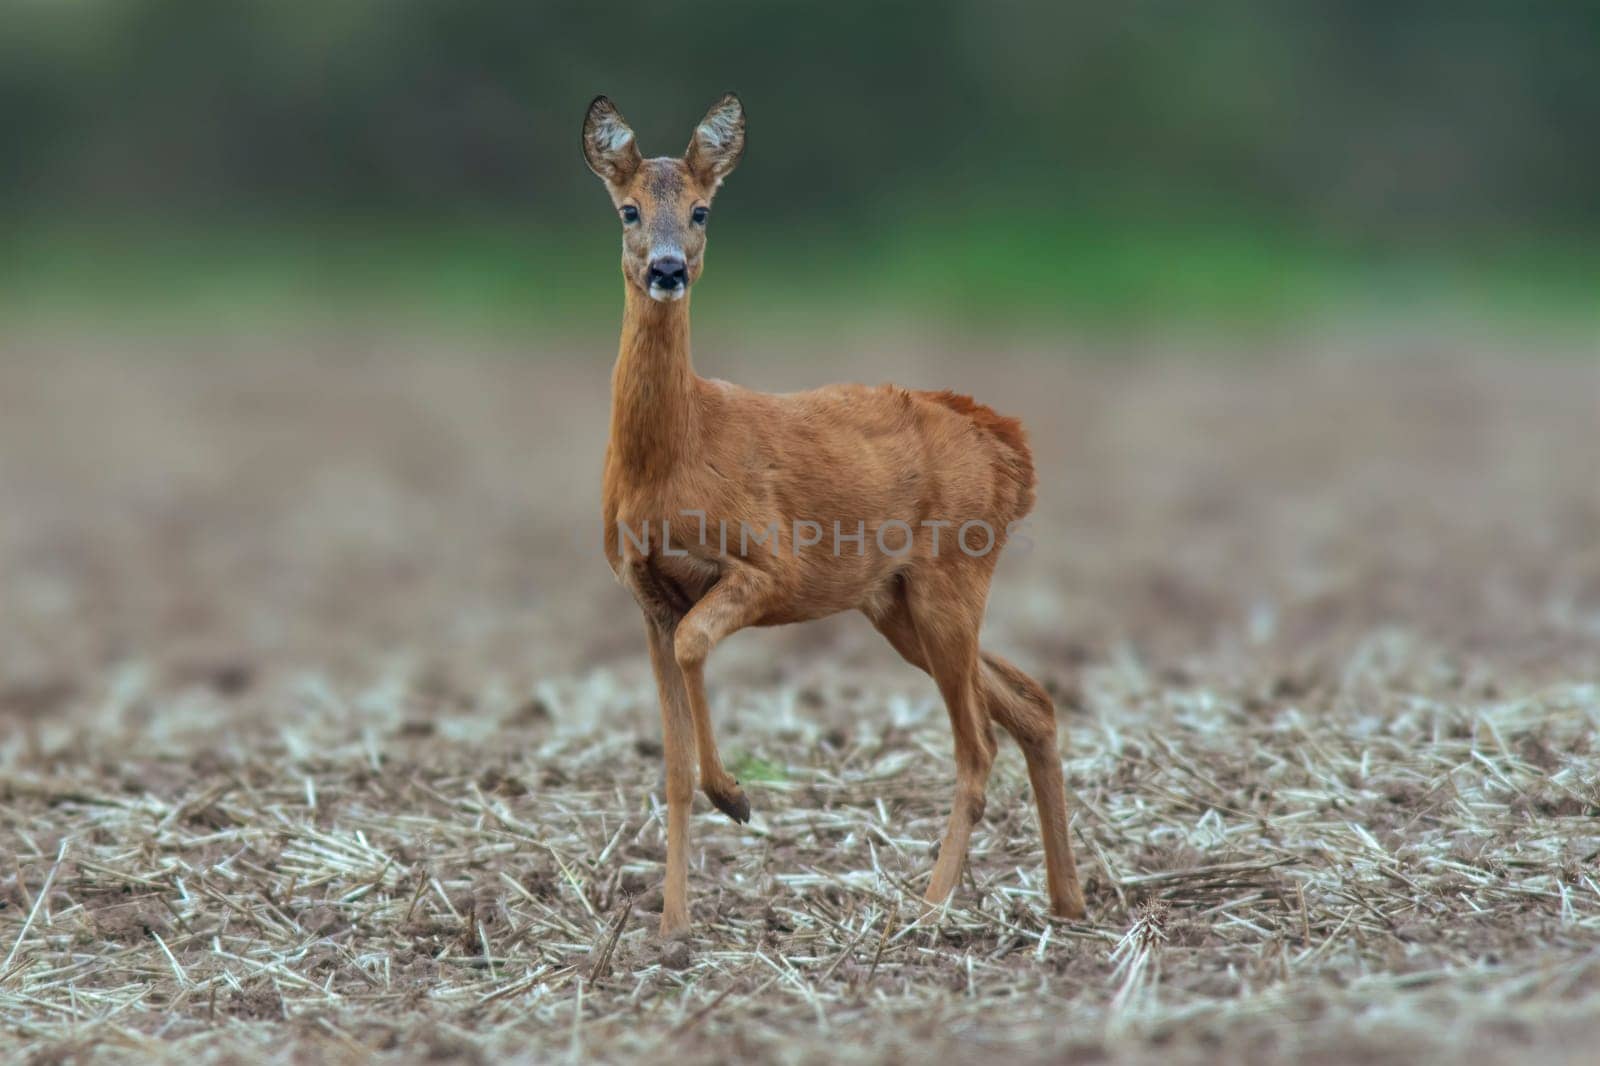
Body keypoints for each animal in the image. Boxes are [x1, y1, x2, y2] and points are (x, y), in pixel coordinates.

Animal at [582, 95, 1094, 934]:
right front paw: (671, 928)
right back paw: (1068, 901)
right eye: (628, 209)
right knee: (1034, 704)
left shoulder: (769, 563)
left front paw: (738, 797)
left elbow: (696, 648)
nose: (668, 269)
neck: (671, 458)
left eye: (701, 211)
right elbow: (672, 769)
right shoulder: (645, 595)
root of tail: (1010, 448)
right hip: (895, 603)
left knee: (978, 744)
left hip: (953, 572)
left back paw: (926, 912)